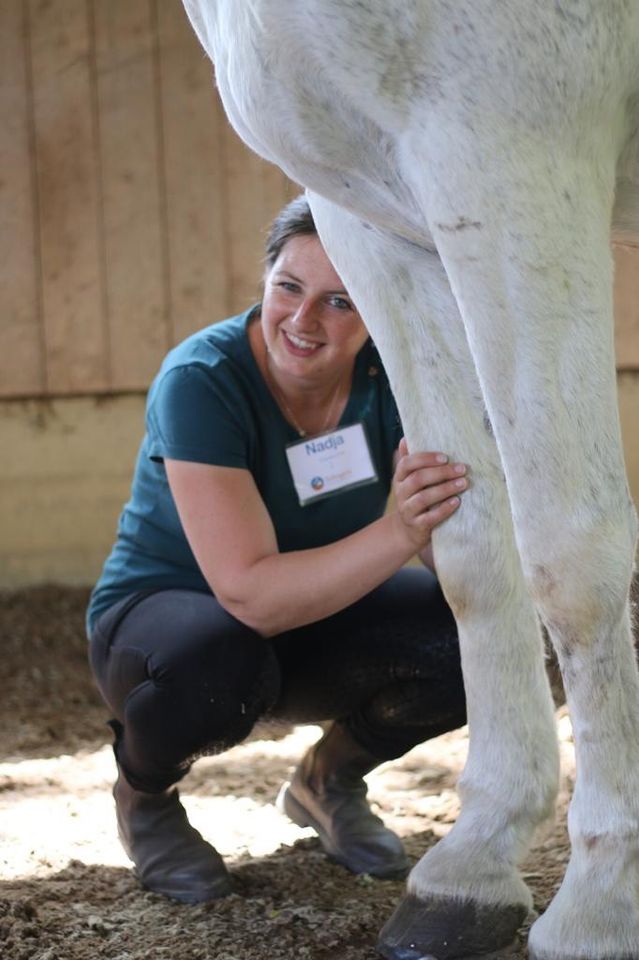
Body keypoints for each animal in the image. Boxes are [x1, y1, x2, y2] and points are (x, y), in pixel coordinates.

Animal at [176, 3, 639, 956]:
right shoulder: (375, 217)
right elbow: (471, 553)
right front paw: (472, 867)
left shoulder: (507, 158)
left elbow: (569, 563)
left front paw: (600, 902)